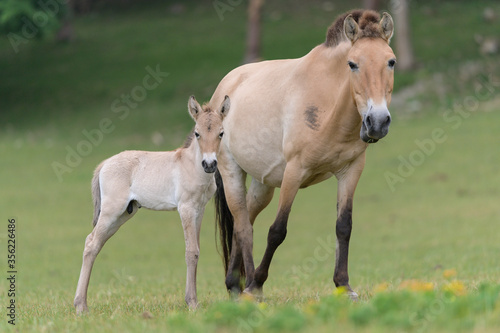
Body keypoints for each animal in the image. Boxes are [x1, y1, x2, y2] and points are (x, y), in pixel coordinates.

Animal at [73, 94, 230, 312]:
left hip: (123, 214)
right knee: (91, 243)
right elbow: (191, 251)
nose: (209, 165)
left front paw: (193, 300)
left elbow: (196, 250)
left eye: (221, 133)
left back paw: (82, 303)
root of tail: (104, 163)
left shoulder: (199, 210)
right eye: (197, 133)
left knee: (95, 243)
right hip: (112, 211)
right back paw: (80, 306)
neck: (191, 165)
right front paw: (192, 303)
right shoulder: (186, 208)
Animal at [210, 9, 394, 298]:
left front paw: (344, 285)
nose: (377, 122)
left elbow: (344, 226)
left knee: (246, 220)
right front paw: (258, 282)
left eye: (391, 62)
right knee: (243, 227)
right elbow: (277, 231)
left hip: (263, 185)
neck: (329, 105)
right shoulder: (295, 172)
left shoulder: (351, 170)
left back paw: (234, 285)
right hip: (231, 173)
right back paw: (249, 286)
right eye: (352, 64)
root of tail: (225, 86)